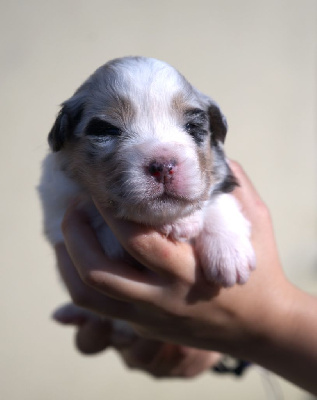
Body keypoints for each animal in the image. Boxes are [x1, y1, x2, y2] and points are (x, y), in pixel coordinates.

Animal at [38, 56, 254, 290]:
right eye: (108, 130)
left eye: (191, 126)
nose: (163, 166)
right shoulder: (55, 202)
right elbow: (90, 207)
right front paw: (178, 223)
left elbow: (218, 200)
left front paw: (229, 255)